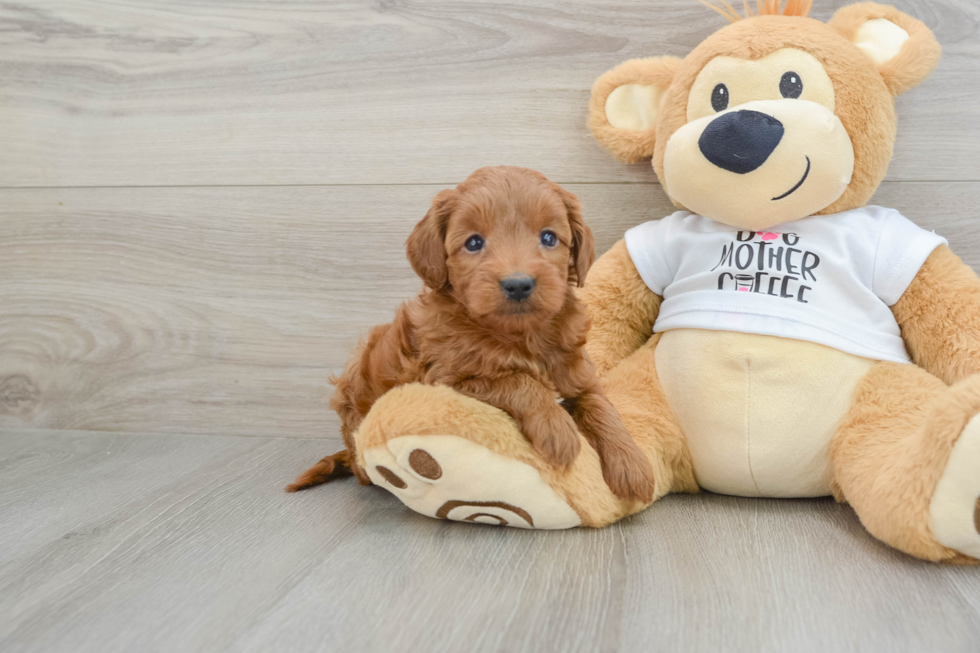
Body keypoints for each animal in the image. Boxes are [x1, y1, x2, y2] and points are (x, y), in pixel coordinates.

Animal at [288, 166, 656, 502]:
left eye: (549, 238)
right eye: (474, 242)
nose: (518, 284)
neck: (521, 335)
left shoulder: (577, 372)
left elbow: (601, 407)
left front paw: (633, 464)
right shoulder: (450, 381)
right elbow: (520, 381)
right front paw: (558, 431)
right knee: (360, 466)